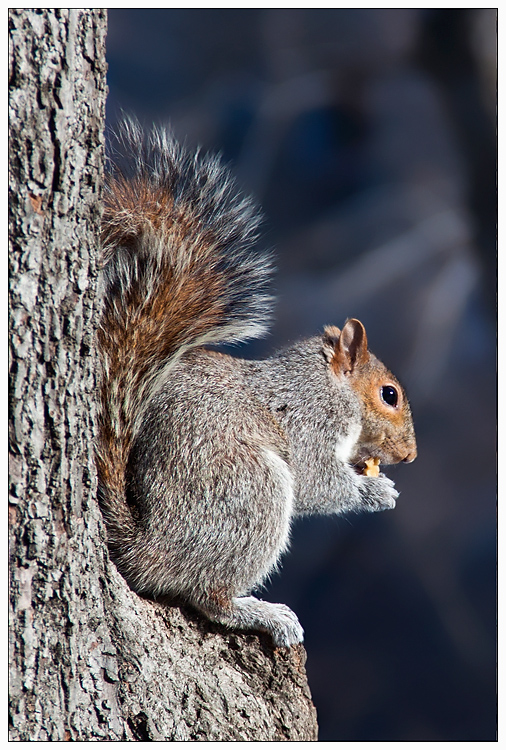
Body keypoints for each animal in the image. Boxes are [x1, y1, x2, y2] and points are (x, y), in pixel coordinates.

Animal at [97, 120, 418, 648]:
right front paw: (374, 493)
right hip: (251, 494)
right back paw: (263, 613)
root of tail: (149, 548)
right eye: (389, 395)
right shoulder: (311, 418)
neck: (328, 384)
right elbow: (315, 480)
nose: (410, 456)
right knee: (208, 594)